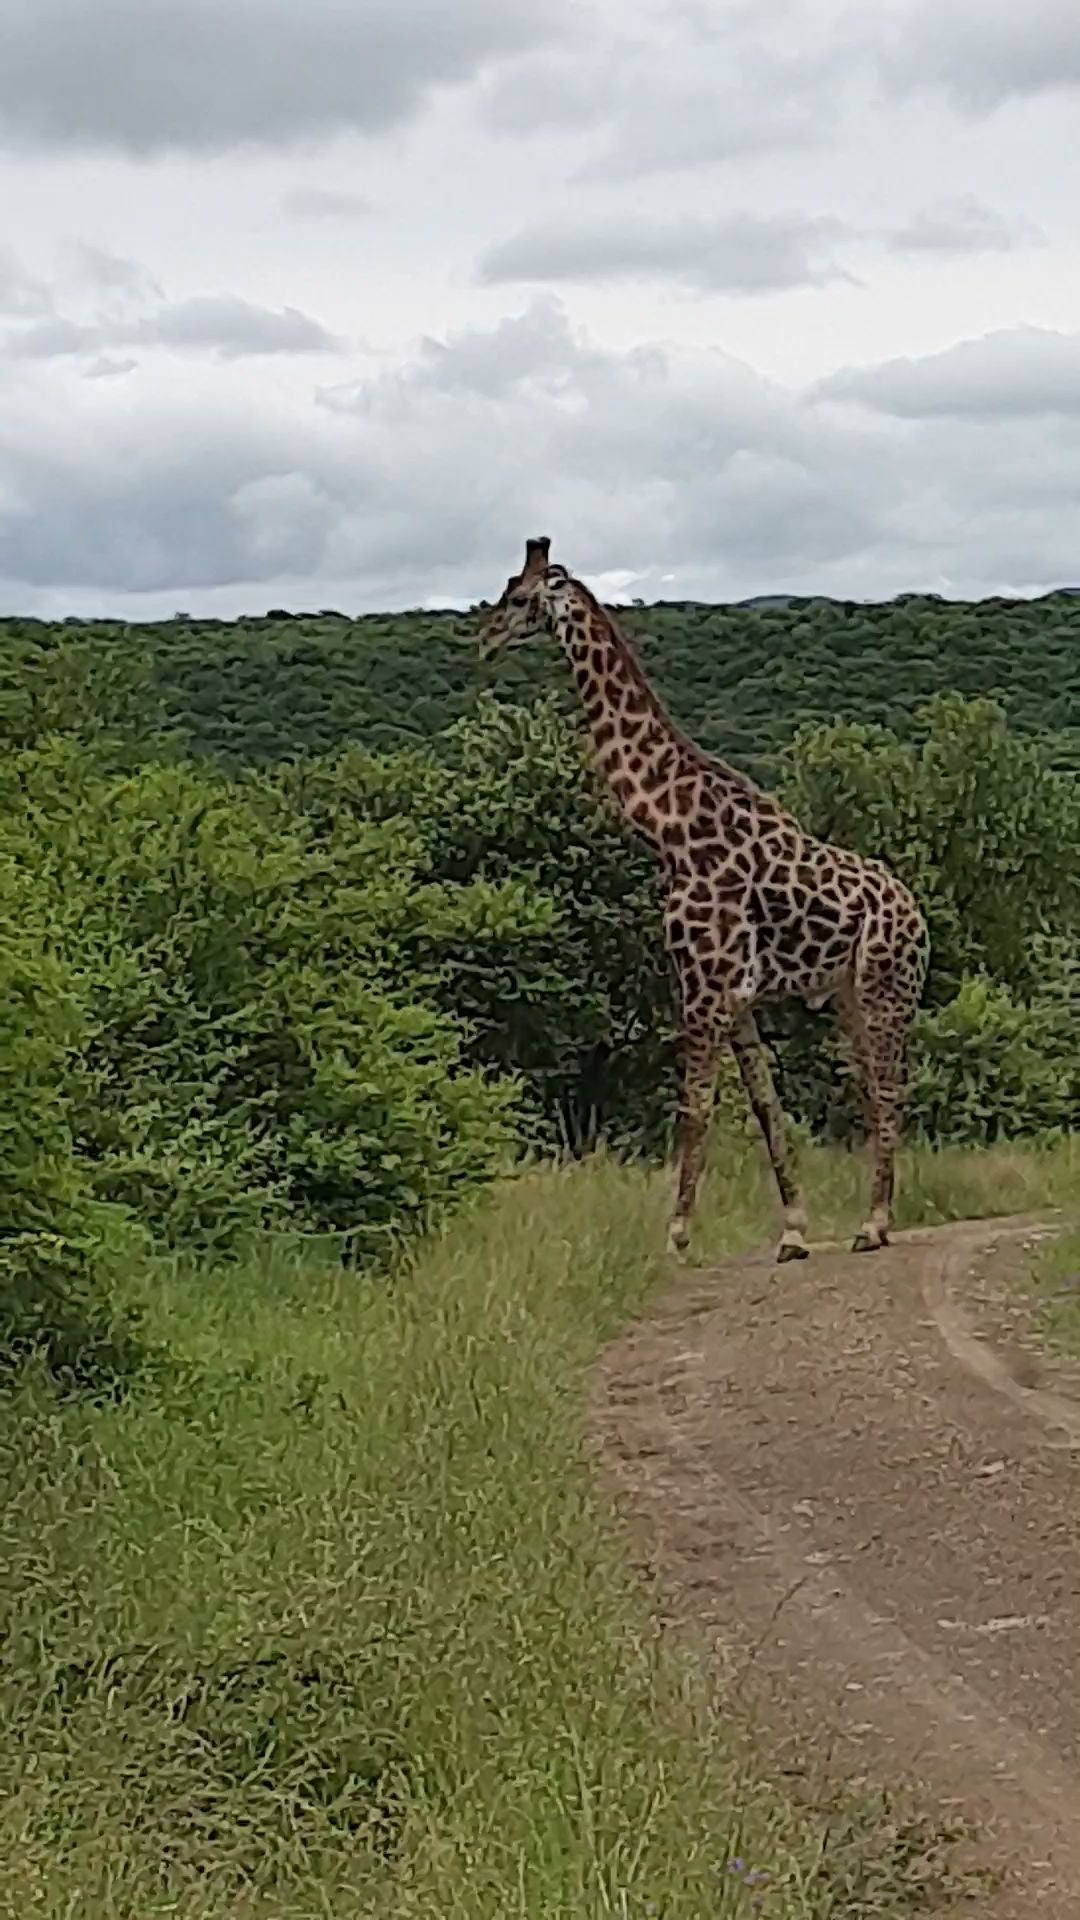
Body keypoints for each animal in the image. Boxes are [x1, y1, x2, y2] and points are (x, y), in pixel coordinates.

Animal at [474, 537, 930, 1259]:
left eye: (519, 597)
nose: (484, 639)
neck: (670, 828)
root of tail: (917, 915)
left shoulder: (702, 985)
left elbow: (694, 1104)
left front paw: (677, 1234)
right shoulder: (734, 995)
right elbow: (767, 1106)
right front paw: (793, 1231)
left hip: (886, 985)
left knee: (888, 1088)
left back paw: (875, 1224)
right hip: (852, 997)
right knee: (874, 1088)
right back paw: (872, 1218)